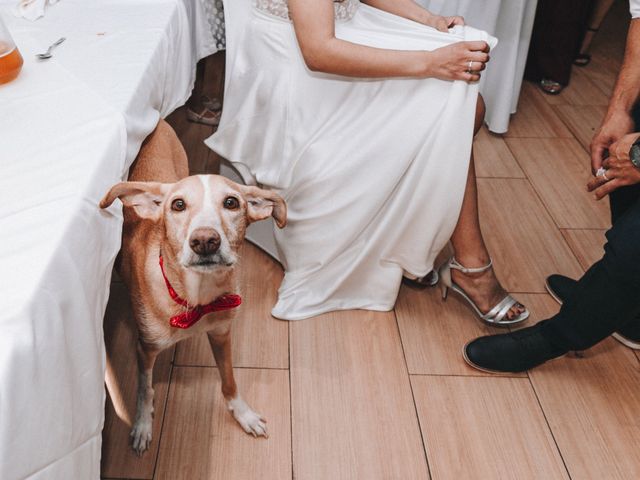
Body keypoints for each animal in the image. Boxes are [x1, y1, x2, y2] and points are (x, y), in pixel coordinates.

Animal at [100, 120, 288, 454]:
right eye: (178, 205)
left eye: (231, 203)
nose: (205, 241)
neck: (196, 299)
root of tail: (160, 121)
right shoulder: (145, 348)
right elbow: (145, 389)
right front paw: (143, 425)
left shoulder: (222, 334)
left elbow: (229, 380)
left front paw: (243, 414)